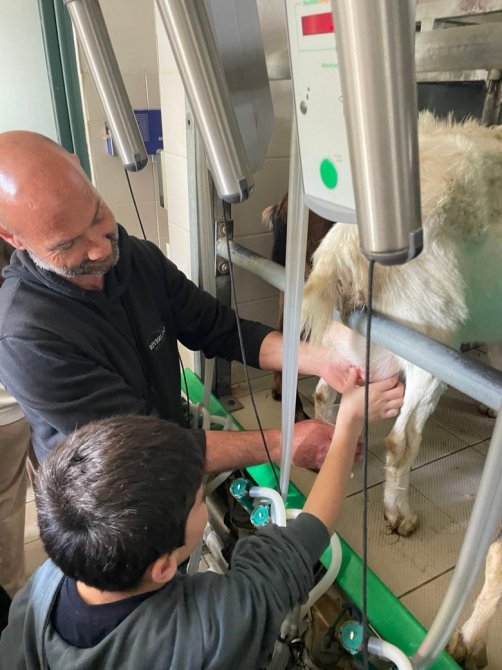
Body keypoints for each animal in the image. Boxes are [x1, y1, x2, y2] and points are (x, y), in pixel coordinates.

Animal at [301, 113, 502, 669]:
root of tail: (346, 246)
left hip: (344, 346)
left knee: (324, 396)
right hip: (430, 350)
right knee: (401, 440)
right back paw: (398, 515)